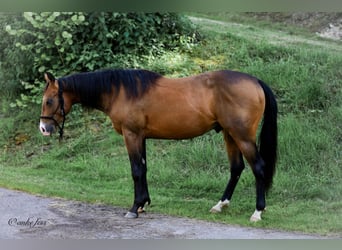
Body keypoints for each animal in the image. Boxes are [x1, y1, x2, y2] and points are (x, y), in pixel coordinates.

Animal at [38, 68, 276, 221]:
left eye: (49, 100)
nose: (43, 128)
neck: (119, 91)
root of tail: (255, 81)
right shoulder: (141, 137)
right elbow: (143, 169)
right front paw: (143, 203)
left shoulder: (131, 135)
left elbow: (135, 170)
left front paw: (134, 207)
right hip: (230, 135)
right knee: (236, 168)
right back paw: (220, 205)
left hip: (242, 136)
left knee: (258, 168)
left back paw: (257, 212)